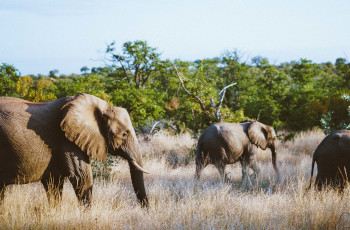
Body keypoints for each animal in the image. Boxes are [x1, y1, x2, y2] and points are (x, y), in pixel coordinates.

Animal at [0, 93, 148, 207]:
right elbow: (82, 177)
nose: (146, 210)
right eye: (125, 134)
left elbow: (54, 183)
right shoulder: (67, 139)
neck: (103, 107)